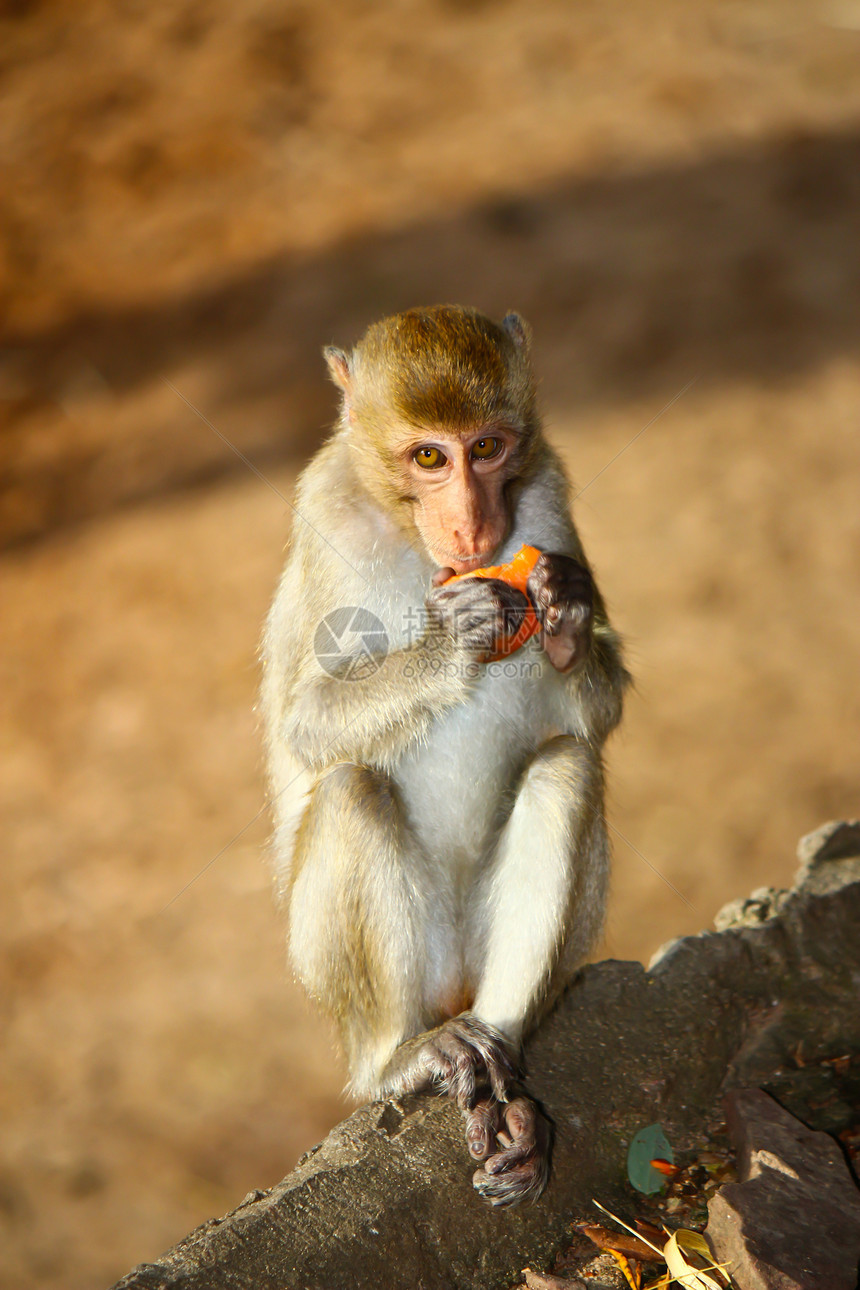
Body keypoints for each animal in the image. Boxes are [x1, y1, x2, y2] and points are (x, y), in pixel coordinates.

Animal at [259, 304, 629, 1207]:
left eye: (486, 448)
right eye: (429, 457)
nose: (471, 524)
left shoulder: (548, 495)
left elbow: (596, 716)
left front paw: (565, 613)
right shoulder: (325, 515)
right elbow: (307, 724)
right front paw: (451, 641)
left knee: (566, 766)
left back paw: (509, 1088)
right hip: (362, 980)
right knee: (354, 790)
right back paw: (404, 1059)